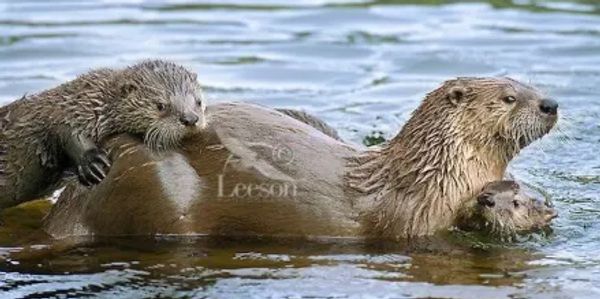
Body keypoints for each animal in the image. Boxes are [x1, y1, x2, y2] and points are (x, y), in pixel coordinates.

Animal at [0, 60, 206, 211]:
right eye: (161, 105)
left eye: (198, 101)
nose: (190, 119)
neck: (94, 100)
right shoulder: (62, 113)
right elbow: (64, 132)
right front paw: (92, 163)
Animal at [42, 78, 556, 241]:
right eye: (511, 97)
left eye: (534, 87)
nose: (550, 103)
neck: (435, 174)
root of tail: (72, 202)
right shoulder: (413, 222)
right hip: (152, 184)